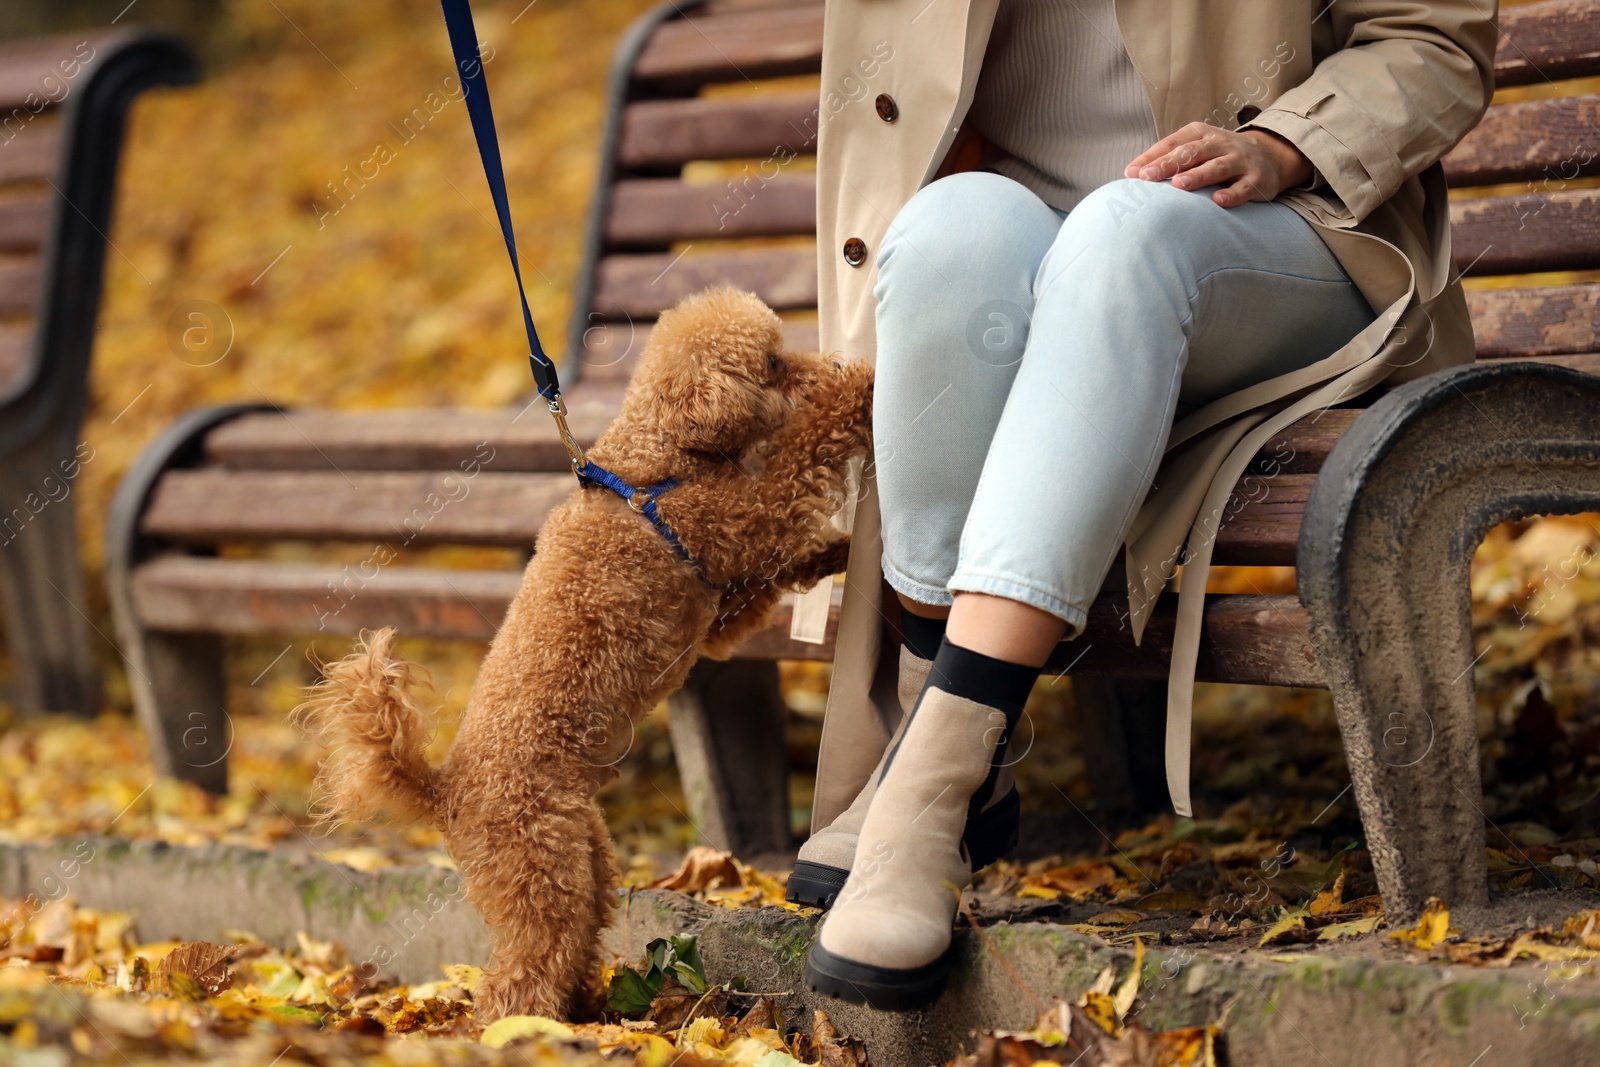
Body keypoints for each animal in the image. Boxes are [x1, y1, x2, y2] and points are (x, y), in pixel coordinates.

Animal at [300, 287, 876, 1023]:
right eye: (773, 363)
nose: (828, 363)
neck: (657, 458)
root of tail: (445, 792)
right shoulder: (740, 521)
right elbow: (801, 455)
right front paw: (862, 386)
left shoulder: (723, 612)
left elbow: (786, 563)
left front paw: (841, 551)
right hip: (539, 872)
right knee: (519, 975)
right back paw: (528, 1032)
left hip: (583, 857)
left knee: (573, 941)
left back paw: (588, 1008)